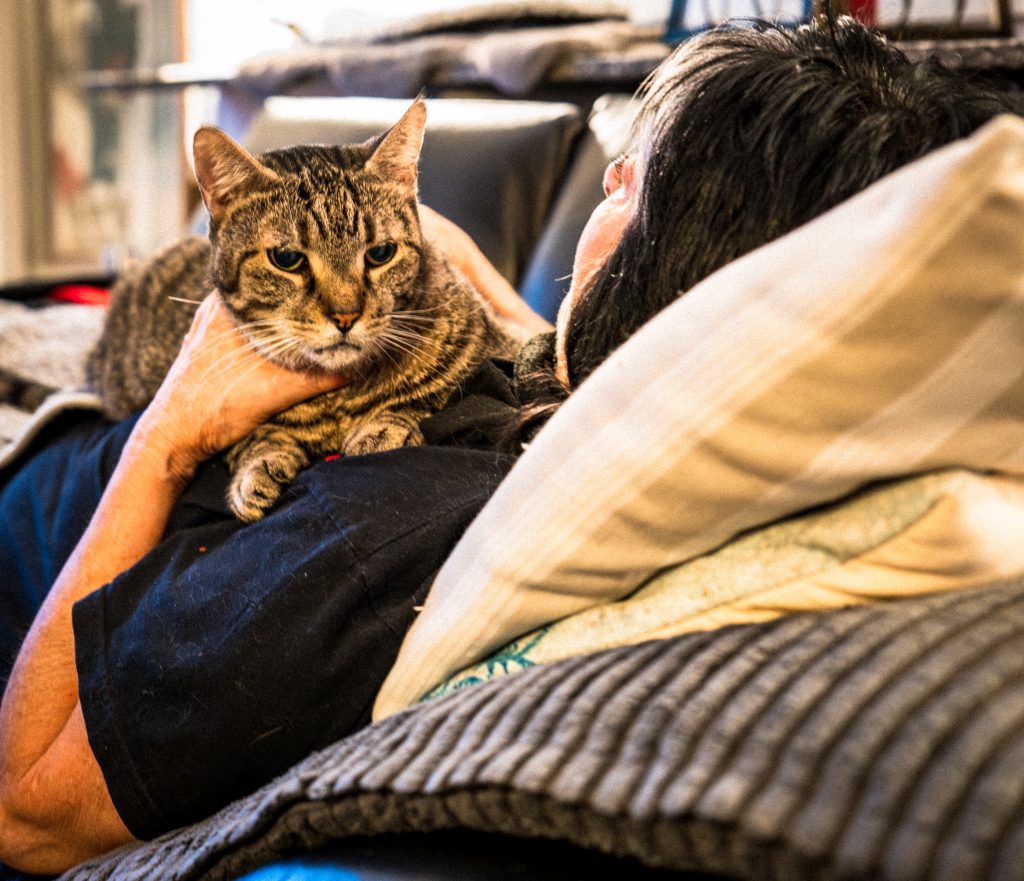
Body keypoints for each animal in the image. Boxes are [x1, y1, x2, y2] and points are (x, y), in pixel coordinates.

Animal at [85, 97, 522, 521]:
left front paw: (383, 428)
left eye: (381, 253)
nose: (346, 316)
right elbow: (252, 439)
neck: (335, 407)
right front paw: (258, 466)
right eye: (287, 259)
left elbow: (431, 393)